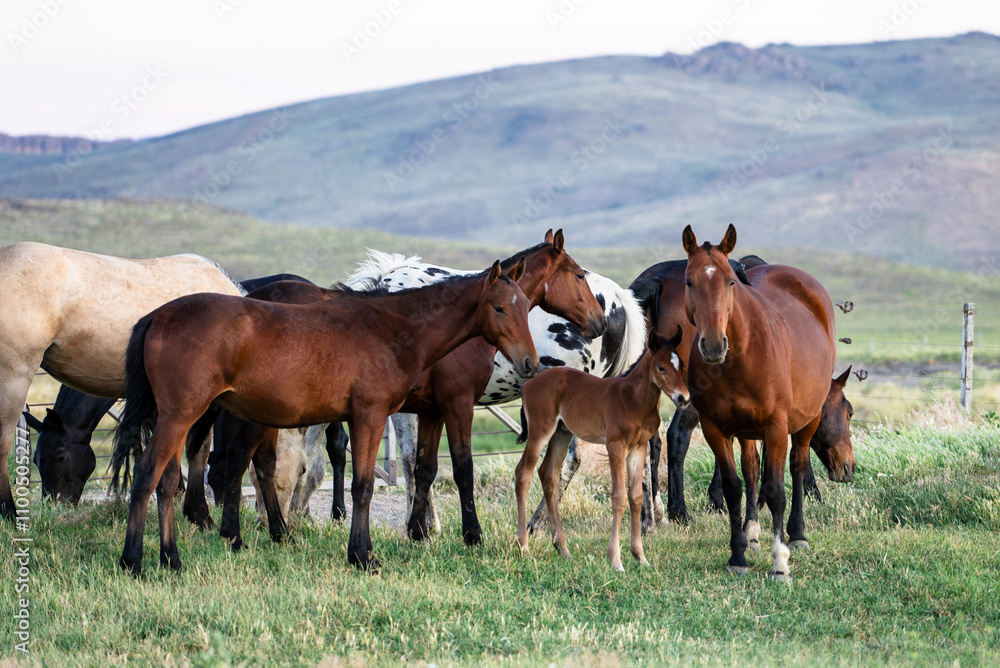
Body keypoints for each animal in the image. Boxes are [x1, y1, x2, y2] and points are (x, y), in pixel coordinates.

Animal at [110, 260, 539, 575]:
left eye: (525, 307)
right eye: (500, 307)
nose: (530, 363)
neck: (391, 329)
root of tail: (156, 317)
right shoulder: (370, 416)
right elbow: (362, 486)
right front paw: (363, 556)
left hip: (180, 419)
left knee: (168, 481)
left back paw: (172, 559)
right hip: (179, 417)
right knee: (148, 476)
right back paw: (134, 561)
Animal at [515, 328, 690, 571]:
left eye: (680, 364)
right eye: (661, 366)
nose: (684, 398)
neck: (633, 400)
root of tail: (528, 384)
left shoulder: (638, 449)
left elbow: (636, 497)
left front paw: (640, 557)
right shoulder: (615, 446)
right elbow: (619, 497)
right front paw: (616, 560)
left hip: (561, 434)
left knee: (548, 474)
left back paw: (562, 548)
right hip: (540, 431)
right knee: (524, 473)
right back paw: (523, 546)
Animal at [681, 224, 836, 583]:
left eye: (730, 281)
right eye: (689, 281)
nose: (713, 345)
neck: (743, 355)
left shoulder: (776, 427)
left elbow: (776, 490)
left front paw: (780, 563)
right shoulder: (715, 428)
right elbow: (734, 487)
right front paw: (737, 554)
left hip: (807, 421)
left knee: (798, 466)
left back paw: (798, 534)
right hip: (746, 431)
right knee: (751, 471)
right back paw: (751, 534)